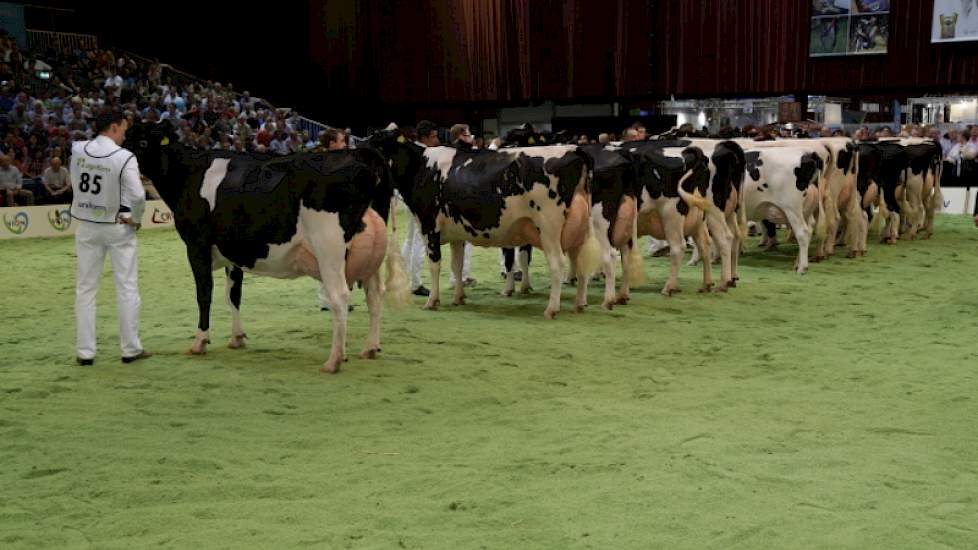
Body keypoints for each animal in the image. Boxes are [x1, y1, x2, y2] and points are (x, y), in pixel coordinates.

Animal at [127, 122, 406, 376]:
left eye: (142, 141)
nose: (124, 156)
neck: (188, 174)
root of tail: (364, 153)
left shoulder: (196, 245)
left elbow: (204, 294)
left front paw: (199, 342)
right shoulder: (233, 253)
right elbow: (233, 294)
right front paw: (237, 337)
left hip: (329, 247)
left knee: (339, 296)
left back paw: (333, 361)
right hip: (371, 253)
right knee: (375, 294)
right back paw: (370, 348)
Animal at [366, 130, 596, 320]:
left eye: (376, 143)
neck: (420, 167)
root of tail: (574, 149)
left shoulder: (430, 227)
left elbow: (434, 265)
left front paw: (432, 301)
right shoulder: (456, 233)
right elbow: (457, 265)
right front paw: (459, 297)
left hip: (549, 227)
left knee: (557, 264)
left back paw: (551, 309)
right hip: (580, 229)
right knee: (581, 261)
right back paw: (579, 303)